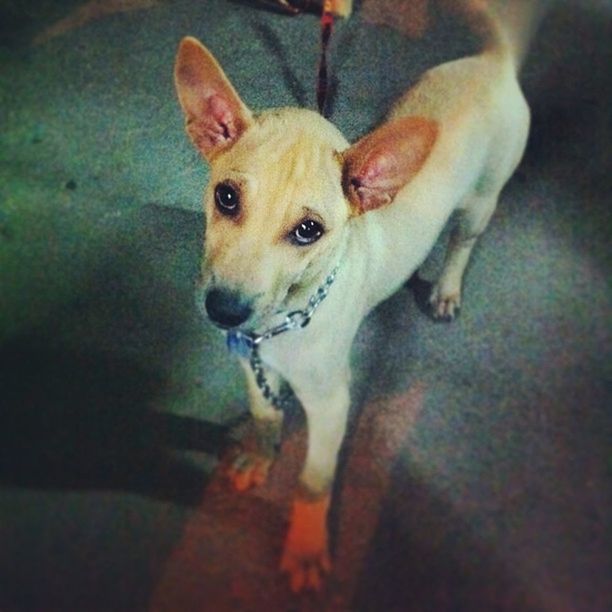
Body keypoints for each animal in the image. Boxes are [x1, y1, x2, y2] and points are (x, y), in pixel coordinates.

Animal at [176, 0, 540, 592]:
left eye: (309, 230)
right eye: (226, 197)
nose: (224, 310)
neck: (285, 322)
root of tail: (493, 62)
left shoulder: (331, 404)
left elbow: (314, 481)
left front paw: (305, 547)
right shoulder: (252, 363)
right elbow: (265, 413)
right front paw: (260, 453)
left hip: (482, 200)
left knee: (462, 242)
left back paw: (445, 287)